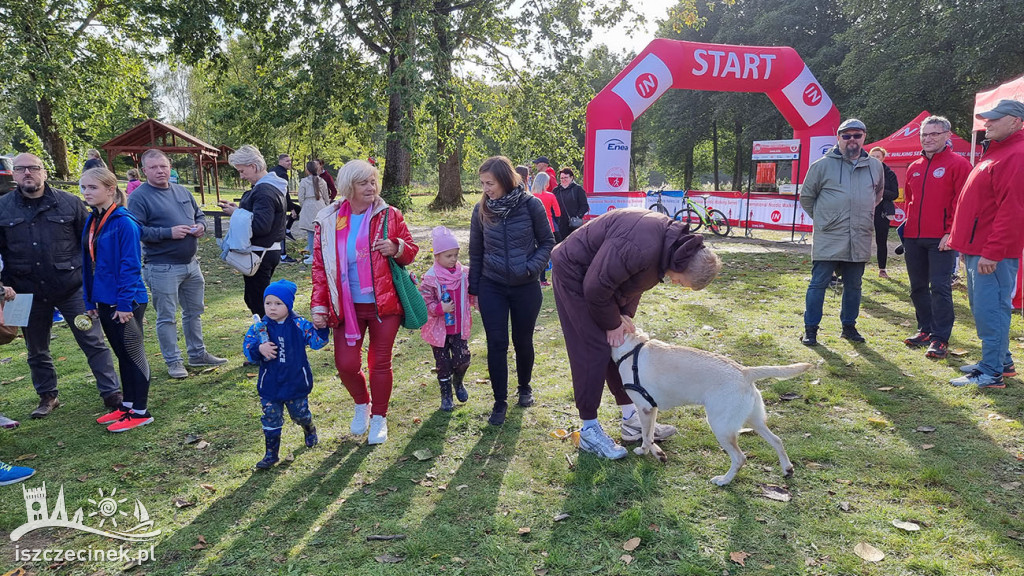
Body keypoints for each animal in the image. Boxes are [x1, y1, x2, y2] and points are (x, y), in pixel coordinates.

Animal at [610, 323, 811, 483]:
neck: (631, 348)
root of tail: (745, 371)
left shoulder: (644, 409)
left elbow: (646, 436)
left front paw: (646, 452)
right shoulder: (652, 409)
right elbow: (650, 435)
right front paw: (656, 452)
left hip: (720, 427)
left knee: (740, 458)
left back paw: (724, 481)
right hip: (754, 421)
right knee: (777, 440)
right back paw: (787, 469)